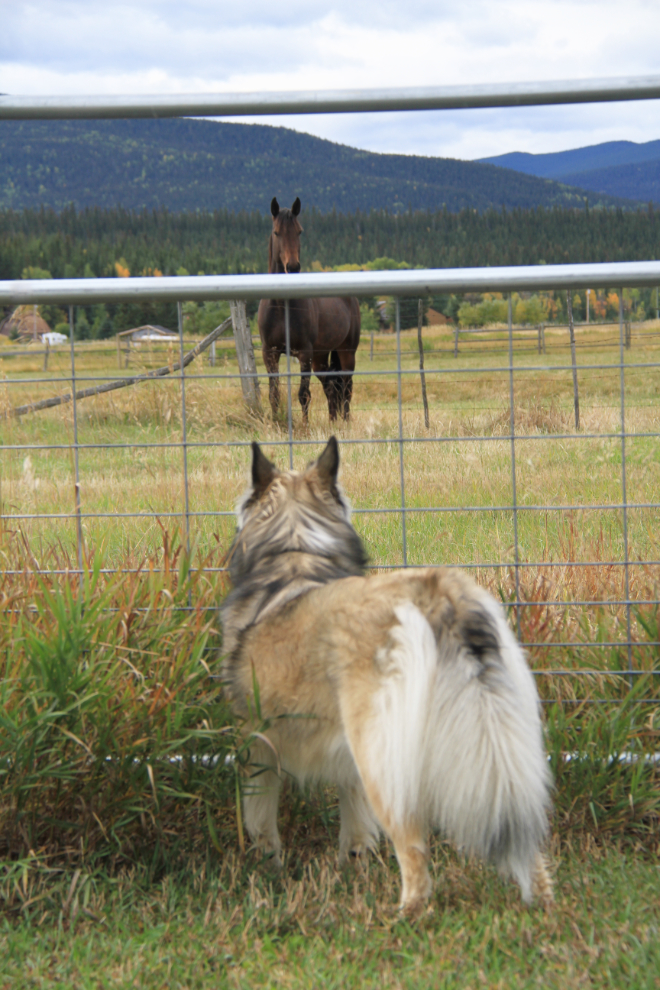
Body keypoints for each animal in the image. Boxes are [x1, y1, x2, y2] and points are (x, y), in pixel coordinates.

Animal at [220, 438, 552, 920]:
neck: (296, 552)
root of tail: (434, 592)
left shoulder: (258, 743)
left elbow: (260, 817)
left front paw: (266, 869)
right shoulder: (347, 763)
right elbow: (356, 827)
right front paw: (352, 866)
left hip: (383, 757)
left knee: (413, 846)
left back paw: (408, 914)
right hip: (502, 744)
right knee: (528, 837)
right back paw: (542, 903)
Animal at [258, 198, 360, 422]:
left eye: (299, 231)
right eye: (277, 232)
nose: (293, 267)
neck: (282, 307)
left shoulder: (304, 353)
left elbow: (303, 394)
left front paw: (305, 427)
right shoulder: (270, 352)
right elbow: (274, 393)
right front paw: (276, 423)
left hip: (346, 352)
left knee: (347, 387)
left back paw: (346, 422)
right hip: (321, 357)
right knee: (331, 387)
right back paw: (332, 423)